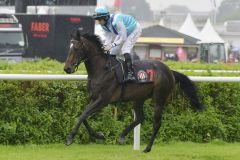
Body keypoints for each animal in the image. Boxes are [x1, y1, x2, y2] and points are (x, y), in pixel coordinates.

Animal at [62, 30, 203, 152]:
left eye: (76, 48)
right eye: (69, 48)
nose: (67, 68)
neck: (102, 69)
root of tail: (170, 71)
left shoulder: (103, 100)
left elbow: (83, 114)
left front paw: (70, 138)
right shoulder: (93, 98)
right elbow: (83, 115)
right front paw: (99, 135)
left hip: (159, 98)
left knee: (157, 123)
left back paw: (147, 148)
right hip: (138, 98)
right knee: (140, 117)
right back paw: (122, 136)